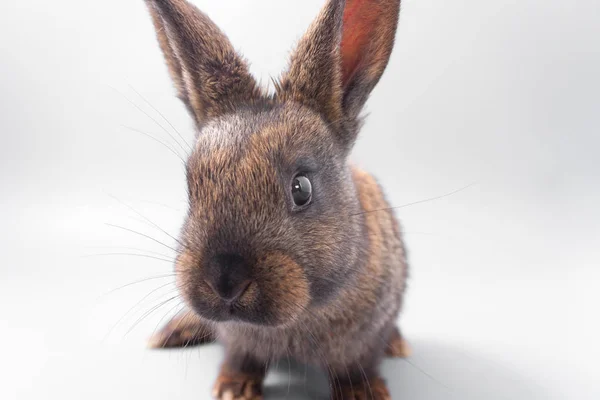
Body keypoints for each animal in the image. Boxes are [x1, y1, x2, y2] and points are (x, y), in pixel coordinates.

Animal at [142, 0, 410, 400]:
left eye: (302, 189)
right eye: (191, 188)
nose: (225, 281)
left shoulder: (364, 339)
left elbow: (357, 367)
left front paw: (364, 393)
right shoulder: (238, 341)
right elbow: (241, 358)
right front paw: (232, 389)